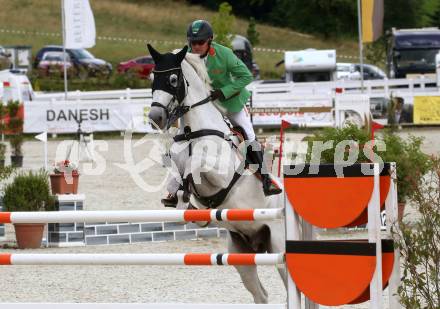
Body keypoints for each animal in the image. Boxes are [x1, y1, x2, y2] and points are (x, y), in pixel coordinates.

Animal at [146, 44, 288, 302]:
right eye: (152, 77)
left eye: (173, 79)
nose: (155, 118)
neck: (192, 130)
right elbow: (176, 172)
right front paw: (179, 198)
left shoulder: (220, 173)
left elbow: (195, 164)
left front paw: (187, 195)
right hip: (240, 251)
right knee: (260, 294)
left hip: (277, 242)